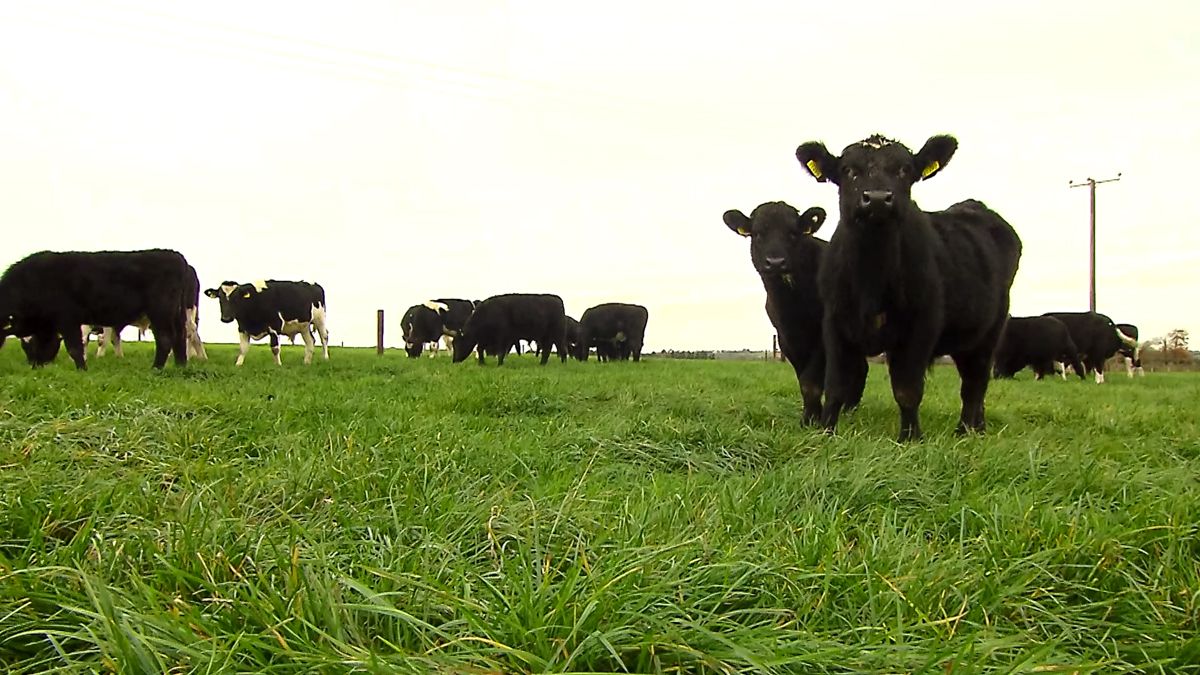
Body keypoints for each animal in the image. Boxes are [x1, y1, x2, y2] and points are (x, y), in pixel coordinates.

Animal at [0, 249, 193, 369]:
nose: (33, 364)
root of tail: (176, 257)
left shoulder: (67, 319)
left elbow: (75, 347)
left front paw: (82, 369)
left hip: (161, 312)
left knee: (165, 338)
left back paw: (156, 368)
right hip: (177, 314)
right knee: (180, 337)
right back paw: (180, 366)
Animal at [723, 202, 868, 425]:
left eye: (793, 233)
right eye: (758, 234)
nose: (775, 262)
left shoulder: (821, 334)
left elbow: (811, 380)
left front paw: (812, 420)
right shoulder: (785, 338)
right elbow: (803, 380)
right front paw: (810, 417)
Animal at [796, 134, 1023, 441]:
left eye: (904, 170)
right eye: (848, 170)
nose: (877, 199)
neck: (872, 278)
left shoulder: (921, 326)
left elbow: (907, 390)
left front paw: (911, 438)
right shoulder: (835, 323)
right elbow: (836, 387)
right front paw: (826, 433)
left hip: (989, 331)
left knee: (974, 385)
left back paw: (964, 431)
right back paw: (979, 428)